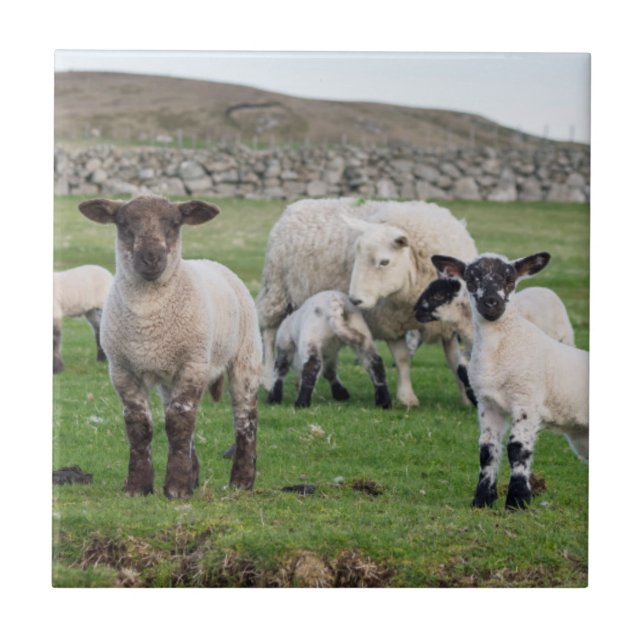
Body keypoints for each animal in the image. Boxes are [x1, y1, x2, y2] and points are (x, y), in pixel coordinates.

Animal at [78, 195, 262, 499]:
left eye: (175, 223)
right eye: (123, 223)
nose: (151, 257)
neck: (148, 319)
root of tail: (213, 263)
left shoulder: (193, 363)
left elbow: (179, 422)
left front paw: (176, 488)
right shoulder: (122, 369)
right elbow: (139, 425)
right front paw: (138, 486)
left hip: (245, 356)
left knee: (245, 418)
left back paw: (242, 481)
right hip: (169, 377)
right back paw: (195, 476)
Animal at [255, 198, 478, 407]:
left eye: (384, 262)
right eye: (356, 257)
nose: (354, 299)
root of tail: (296, 205)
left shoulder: (448, 326)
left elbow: (455, 362)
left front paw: (466, 398)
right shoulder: (390, 324)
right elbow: (402, 360)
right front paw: (407, 397)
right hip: (276, 289)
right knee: (269, 333)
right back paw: (268, 379)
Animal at [431, 252, 588, 510]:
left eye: (510, 279)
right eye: (471, 278)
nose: (491, 302)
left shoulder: (527, 400)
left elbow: (517, 448)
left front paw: (517, 500)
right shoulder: (487, 403)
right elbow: (487, 449)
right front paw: (482, 499)